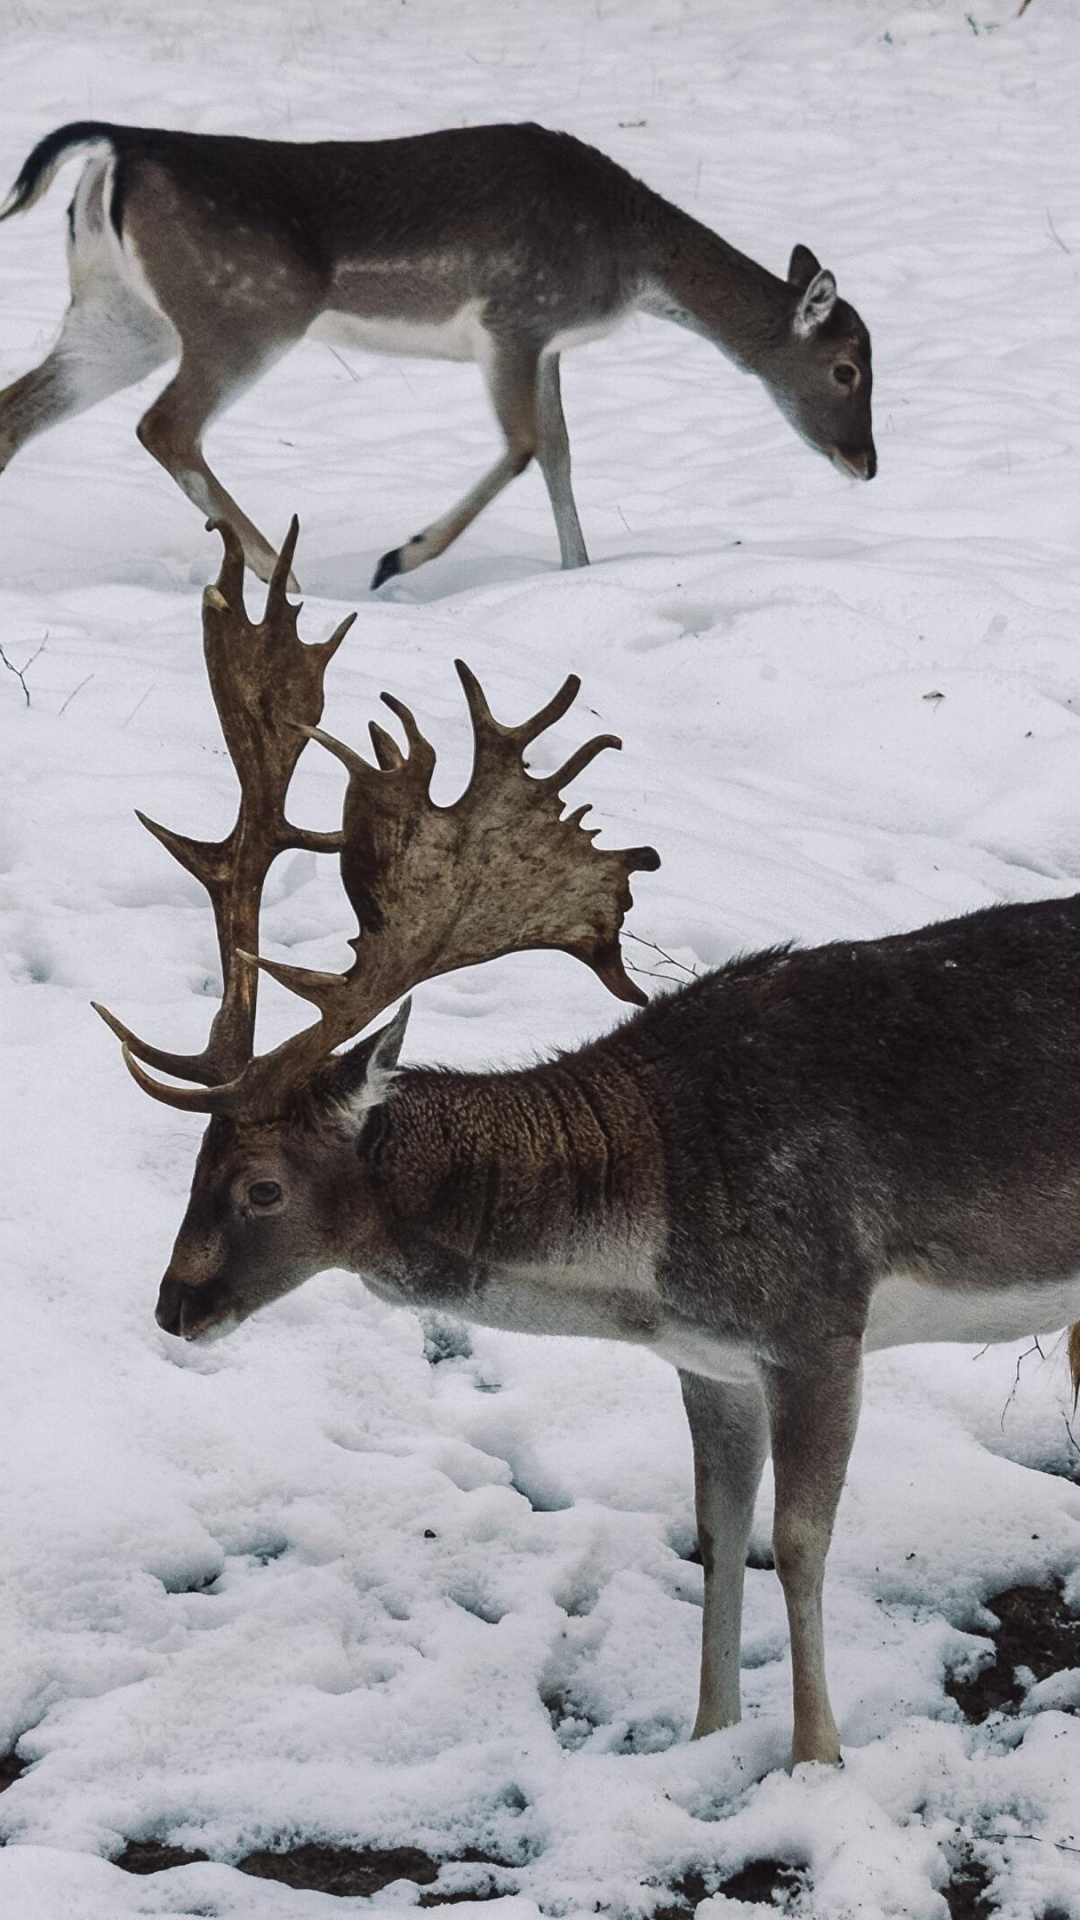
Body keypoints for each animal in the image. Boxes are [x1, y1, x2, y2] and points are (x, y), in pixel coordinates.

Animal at [1, 120, 874, 590]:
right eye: (847, 369)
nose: (866, 463)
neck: (631, 262)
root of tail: (117, 149)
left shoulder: (546, 342)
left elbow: (559, 451)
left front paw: (579, 573)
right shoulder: (514, 317)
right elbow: (524, 445)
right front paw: (400, 557)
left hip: (119, 317)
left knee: (19, 412)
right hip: (244, 313)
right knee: (166, 426)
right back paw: (288, 576)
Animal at [96, 523, 1079, 1773]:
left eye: (261, 1187)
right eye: (192, 1164)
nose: (176, 1307)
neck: (649, 1239)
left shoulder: (820, 1318)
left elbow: (802, 1540)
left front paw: (816, 1761)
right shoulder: (710, 1359)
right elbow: (718, 1531)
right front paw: (707, 1736)